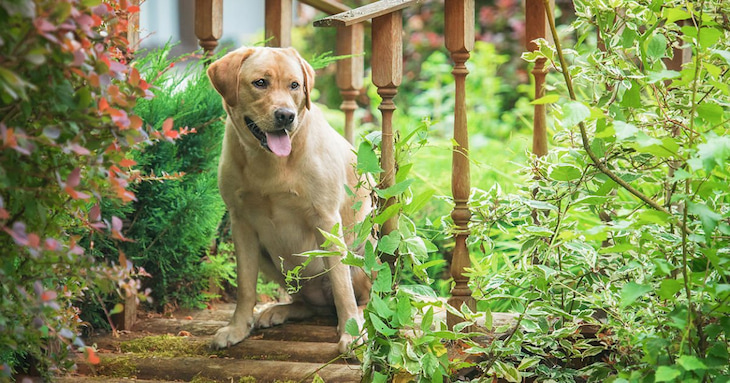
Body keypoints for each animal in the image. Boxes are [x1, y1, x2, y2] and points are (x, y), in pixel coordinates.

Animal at [208, 47, 372, 354]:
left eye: (295, 85)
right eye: (260, 83)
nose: (286, 115)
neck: (269, 162)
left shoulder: (326, 219)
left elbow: (343, 287)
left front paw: (350, 333)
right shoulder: (240, 222)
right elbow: (245, 286)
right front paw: (238, 328)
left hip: (362, 251)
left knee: (364, 299)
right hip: (269, 260)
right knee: (309, 304)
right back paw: (278, 310)